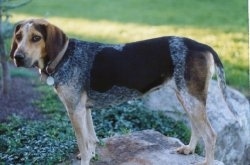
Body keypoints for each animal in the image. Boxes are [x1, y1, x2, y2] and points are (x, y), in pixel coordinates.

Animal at [9, 19, 235, 165]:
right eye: (18, 37)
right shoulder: (84, 109)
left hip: (192, 99)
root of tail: (202, 45)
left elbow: (83, 144)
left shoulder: (74, 110)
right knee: (197, 127)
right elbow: (91, 140)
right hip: (186, 98)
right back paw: (188, 149)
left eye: (36, 38)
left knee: (211, 135)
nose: (17, 57)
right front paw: (92, 153)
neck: (64, 56)